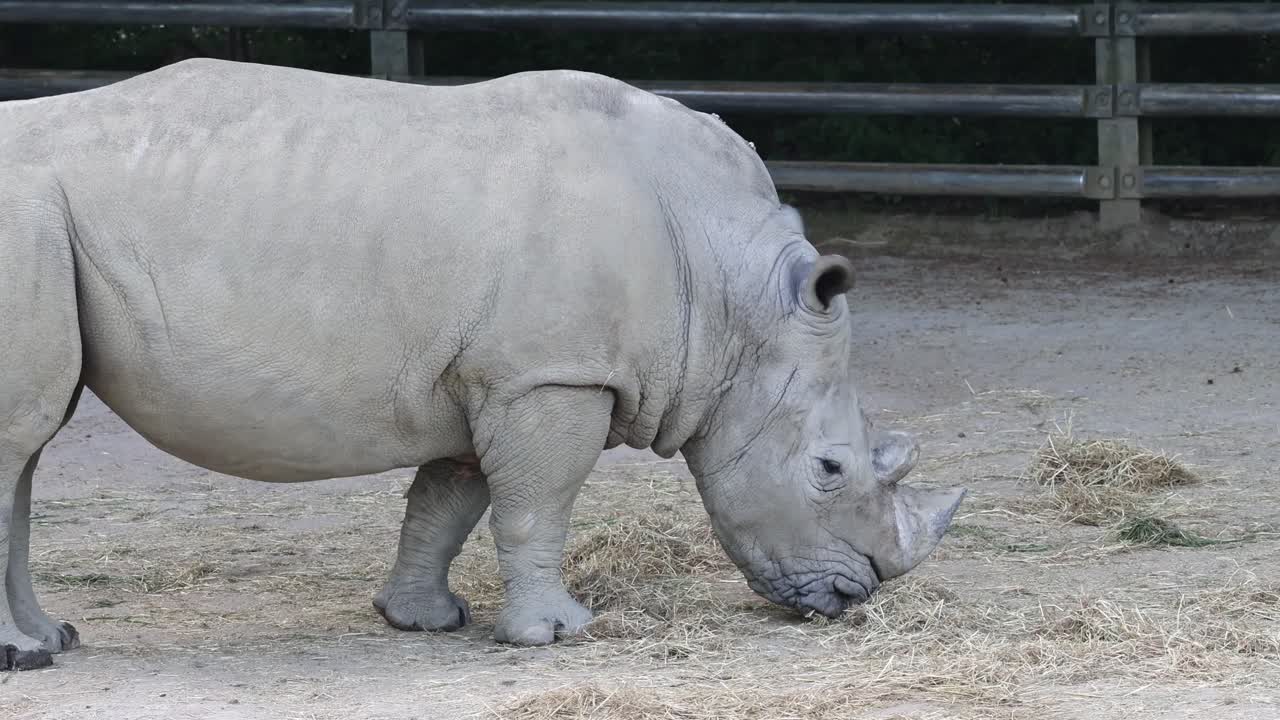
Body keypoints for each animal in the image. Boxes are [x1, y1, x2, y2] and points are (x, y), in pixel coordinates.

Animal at [0, 59, 964, 670]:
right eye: (829, 469)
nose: (852, 596)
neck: (733, 301)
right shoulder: (551, 375)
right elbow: (538, 506)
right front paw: (558, 635)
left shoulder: (488, 374)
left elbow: (446, 503)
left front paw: (419, 620)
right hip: (26, 216)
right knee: (21, 441)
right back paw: (30, 657)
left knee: (27, 445)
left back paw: (51, 644)